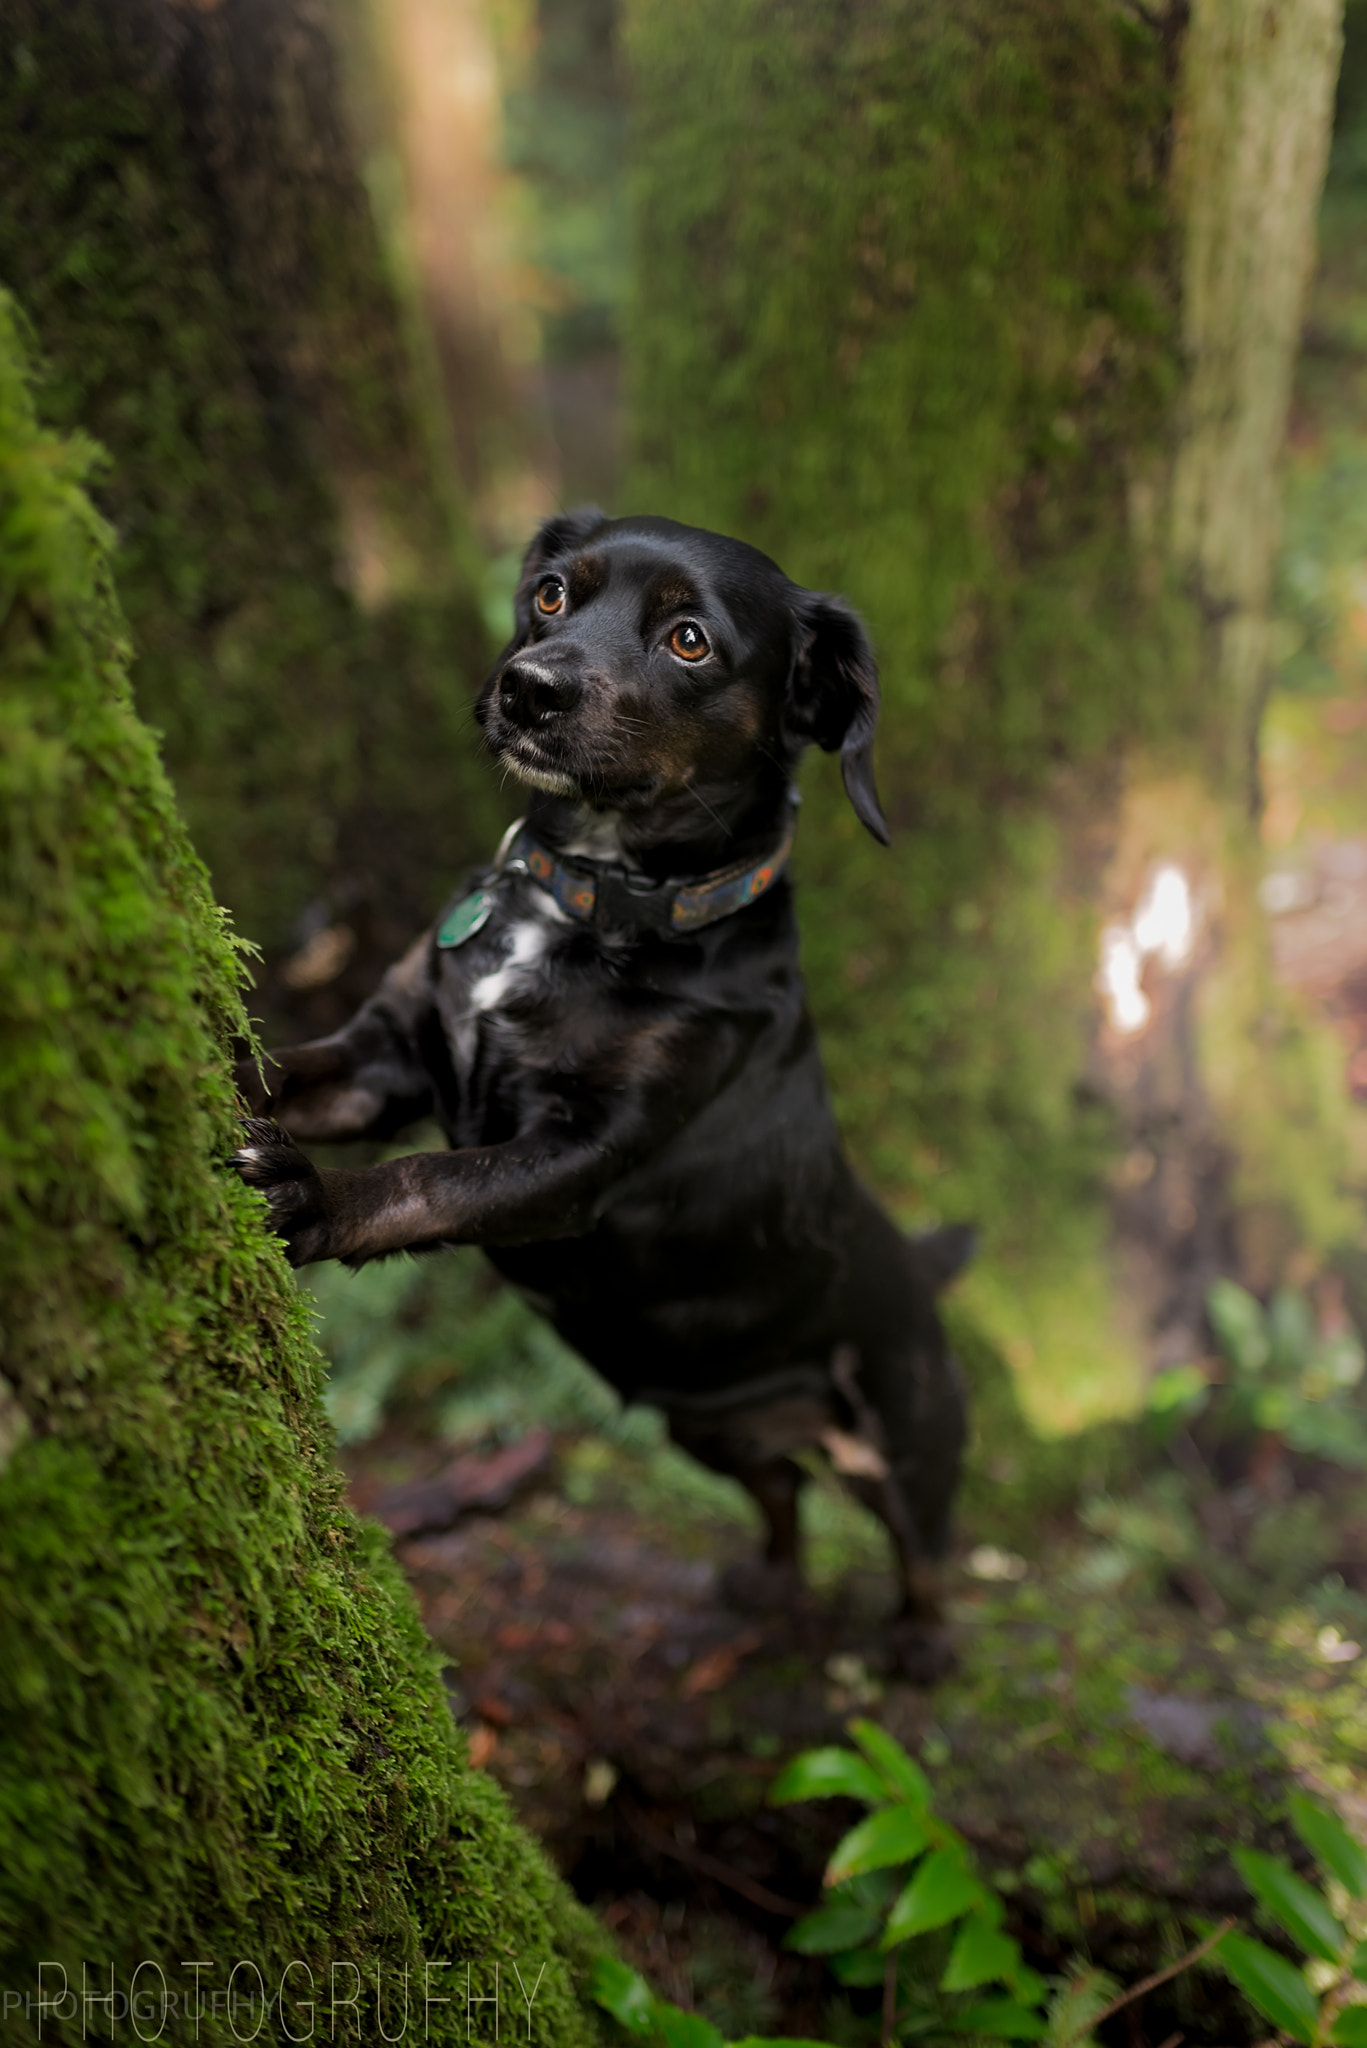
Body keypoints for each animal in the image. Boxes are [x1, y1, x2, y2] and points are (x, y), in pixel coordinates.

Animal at [229, 507, 967, 1679]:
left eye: (688, 642)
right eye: (550, 595)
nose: (530, 688)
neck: (584, 903)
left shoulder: (580, 1155)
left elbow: (424, 1179)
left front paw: (311, 1199)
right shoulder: (387, 1057)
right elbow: (286, 1067)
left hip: (902, 1435)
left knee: (925, 1542)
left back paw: (920, 1642)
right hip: (706, 1423)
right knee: (780, 1487)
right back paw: (766, 1581)